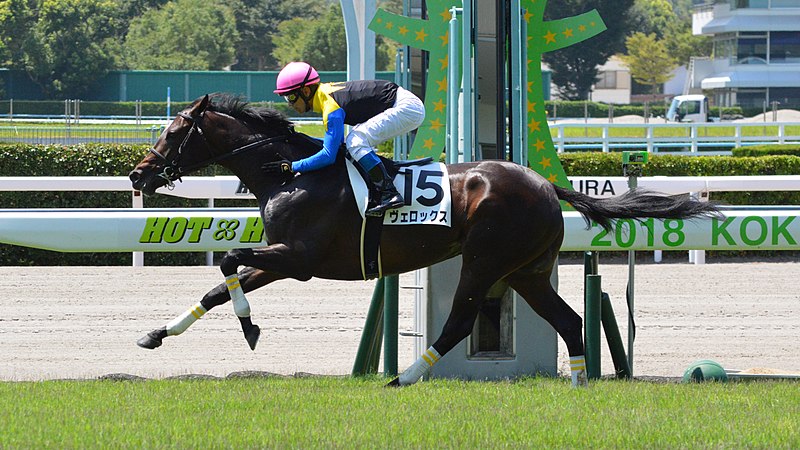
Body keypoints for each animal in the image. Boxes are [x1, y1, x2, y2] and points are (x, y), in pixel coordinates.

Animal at [130, 92, 720, 386]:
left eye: (173, 132)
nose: (138, 174)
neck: (288, 174)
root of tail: (543, 182)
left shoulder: (300, 258)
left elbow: (228, 259)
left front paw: (250, 327)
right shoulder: (280, 258)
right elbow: (217, 284)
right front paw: (157, 333)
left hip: (485, 260)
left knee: (460, 321)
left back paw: (405, 377)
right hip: (526, 271)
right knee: (569, 319)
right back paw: (577, 385)